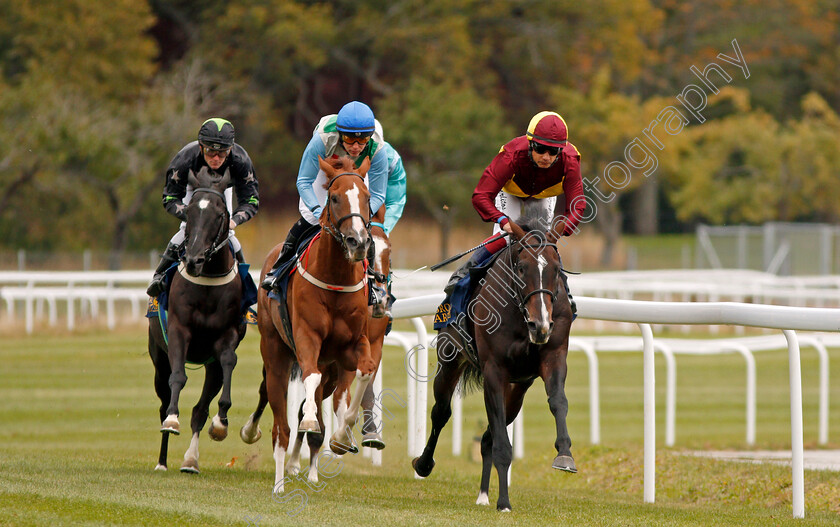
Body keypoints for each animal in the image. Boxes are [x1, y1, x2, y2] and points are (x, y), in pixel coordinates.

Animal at [146, 169, 244, 474]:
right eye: (188, 212)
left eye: (220, 214)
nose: (193, 260)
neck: (207, 281)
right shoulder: (179, 331)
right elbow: (178, 378)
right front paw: (172, 420)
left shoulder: (225, 336)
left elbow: (229, 362)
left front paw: (221, 422)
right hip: (158, 359)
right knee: (163, 401)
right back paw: (162, 460)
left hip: (210, 367)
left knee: (200, 409)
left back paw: (191, 460)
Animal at [241, 157, 376, 496]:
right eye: (335, 197)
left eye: (367, 198)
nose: (358, 242)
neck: (335, 278)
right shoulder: (306, 339)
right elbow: (308, 385)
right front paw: (312, 423)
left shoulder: (350, 347)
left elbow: (365, 371)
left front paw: (341, 436)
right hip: (275, 352)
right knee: (280, 423)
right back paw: (277, 477)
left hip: (329, 369)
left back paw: (302, 466)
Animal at [410, 222, 576, 512]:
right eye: (521, 268)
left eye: (556, 269)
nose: (540, 325)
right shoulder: (494, 370)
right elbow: (501, 442)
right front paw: (505, 502)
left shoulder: (553, 355)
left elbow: (558, 401)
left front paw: (565, 455)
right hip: (450, 359)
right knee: (441, 412)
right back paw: (424, 464)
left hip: (518, 389)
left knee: (487, 435)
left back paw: (484, 494)